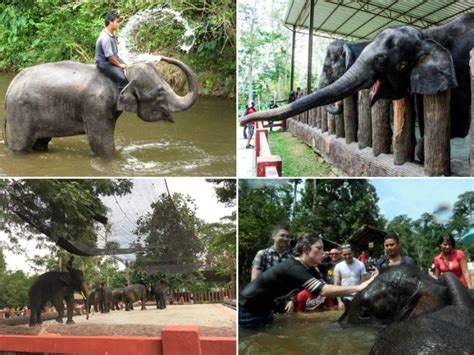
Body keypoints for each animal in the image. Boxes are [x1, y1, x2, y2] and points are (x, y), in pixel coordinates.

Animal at [5, 56, 198, 159]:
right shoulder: (96, 105)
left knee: (41, 143)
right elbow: (101, 145)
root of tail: (10, 87)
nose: (162, 57)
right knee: (21, 146)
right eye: (160, 92)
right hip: (20, 112)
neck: (124, 75)